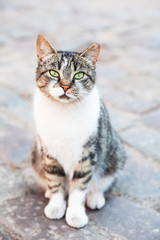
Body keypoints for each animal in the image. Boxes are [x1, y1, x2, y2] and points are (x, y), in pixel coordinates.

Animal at [31, 35, 126, 229]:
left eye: (79, 75)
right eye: (54, 73)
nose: (66, 86)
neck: (64, 113)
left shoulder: (87, 155)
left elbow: (79, 187)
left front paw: (75, 214)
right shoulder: (49, 153)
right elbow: (55, 182)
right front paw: (56, 206)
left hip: (115, 155)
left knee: (102, 182)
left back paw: (95, 198)